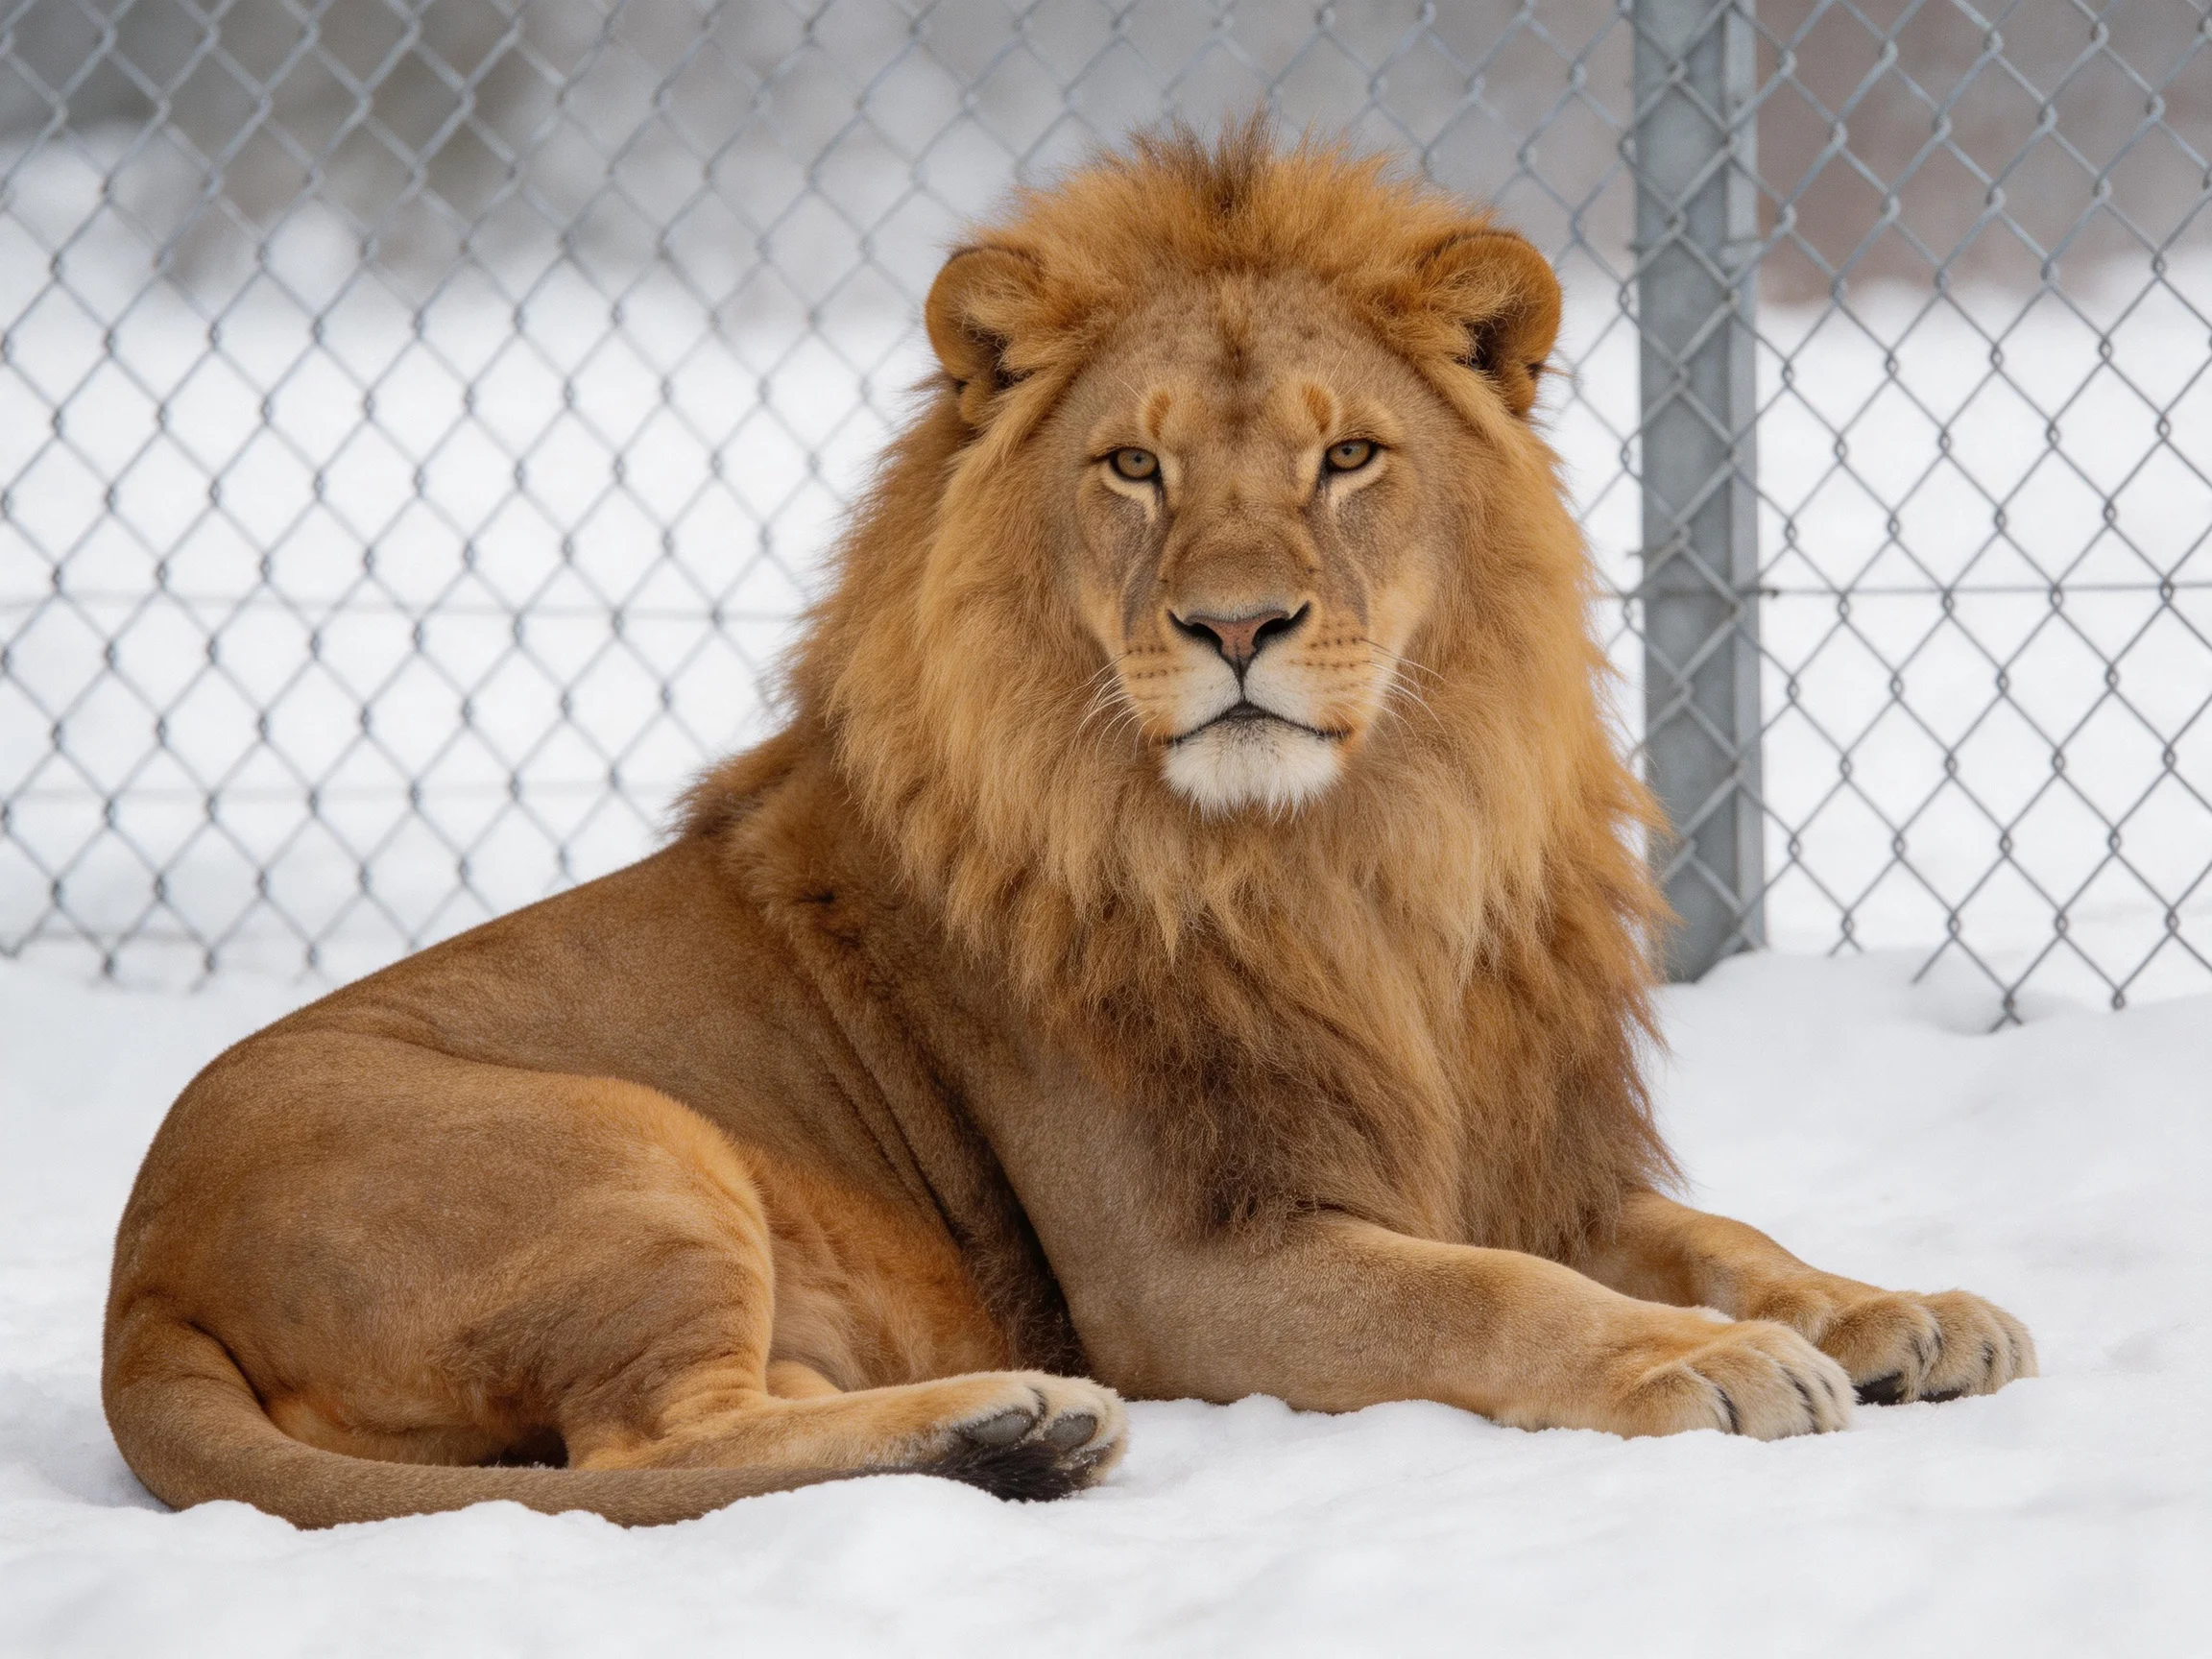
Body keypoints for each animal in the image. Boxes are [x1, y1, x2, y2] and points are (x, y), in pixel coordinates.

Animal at [102, 123, 2033, 1529]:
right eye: (1134, 466)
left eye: (1347, 459)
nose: (1238, 626)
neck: (1349, 866)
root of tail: (140, 1286)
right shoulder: (1191, 1273)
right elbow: (1494, 1297)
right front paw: (1707, 1364)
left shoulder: (1520, 1156)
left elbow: (1724, 1236)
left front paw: (1901, 1312)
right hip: (623, 1145)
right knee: (650, 1451)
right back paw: (1013, 1423)